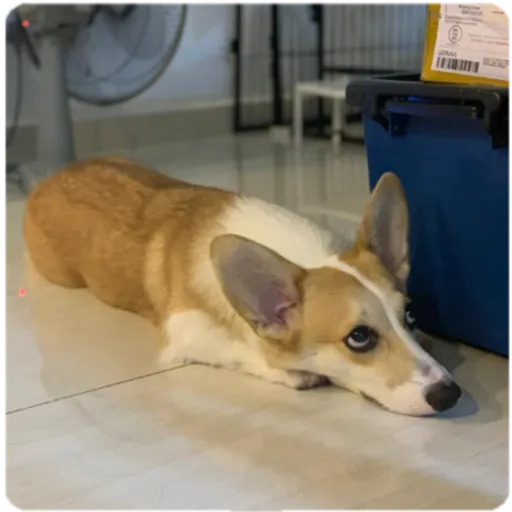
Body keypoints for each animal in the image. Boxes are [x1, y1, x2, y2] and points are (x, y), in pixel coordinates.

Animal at [24, 157, 460, 416]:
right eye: (359, 338)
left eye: (410, 314)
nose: (449, 394)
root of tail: (47, 178)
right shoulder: (185, 332)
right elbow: (246, 351)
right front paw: (295, 373)